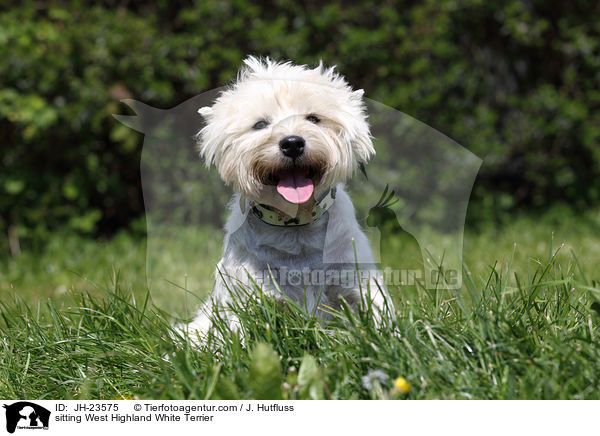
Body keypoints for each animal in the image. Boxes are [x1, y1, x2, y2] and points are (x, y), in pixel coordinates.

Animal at [189, 56, 394, 338]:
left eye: (314, 118)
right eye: (260, 124)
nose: (292, 143)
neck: (295, 227)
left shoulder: (355, 280)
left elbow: (379, 316)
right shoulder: (246, 295)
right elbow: (241, 333)